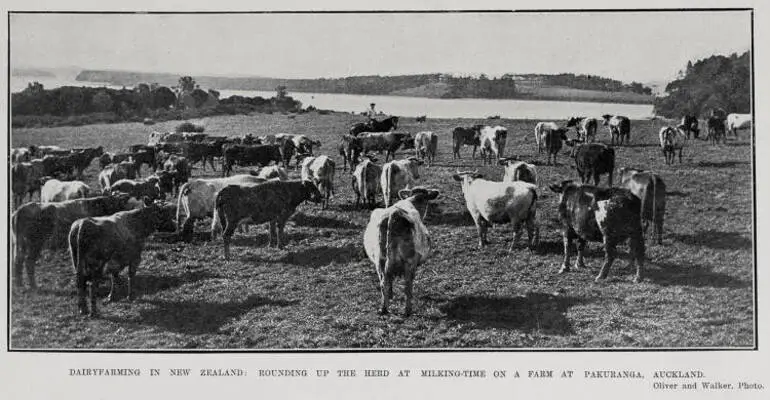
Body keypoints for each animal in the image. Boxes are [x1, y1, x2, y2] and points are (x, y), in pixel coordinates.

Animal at [362, 187, 438, 316]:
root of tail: (394, 214)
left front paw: (391, 296)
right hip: (409, 262)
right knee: (407, 286)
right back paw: (408, 310)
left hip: (380, 261)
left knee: (384, 283)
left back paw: (384, 308)